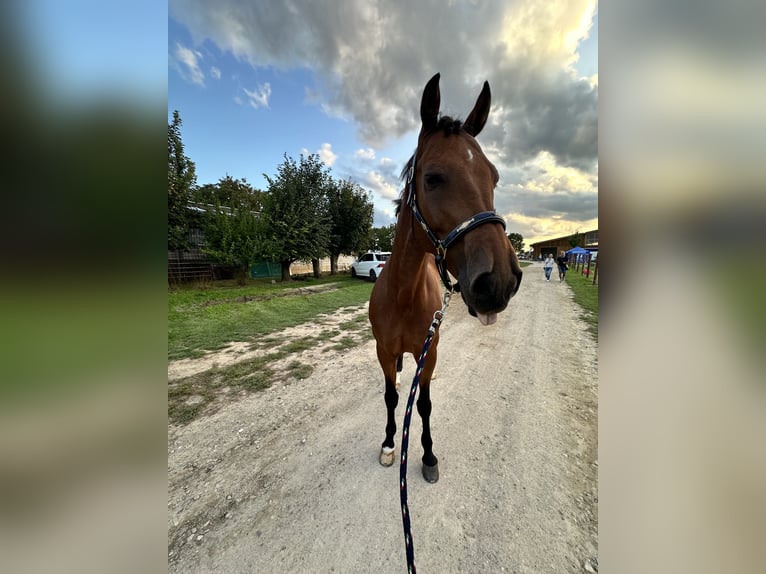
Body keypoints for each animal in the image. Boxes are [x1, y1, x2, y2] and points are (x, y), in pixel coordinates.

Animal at [368, 74, 524, 484]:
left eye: (494, 177)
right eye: (433, 178)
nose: (498, 281)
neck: (403, 294)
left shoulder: (430, 351)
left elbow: (423, 404)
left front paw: (428, 455)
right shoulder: (383, 351)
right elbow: (392, 397)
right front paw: (389, 444)